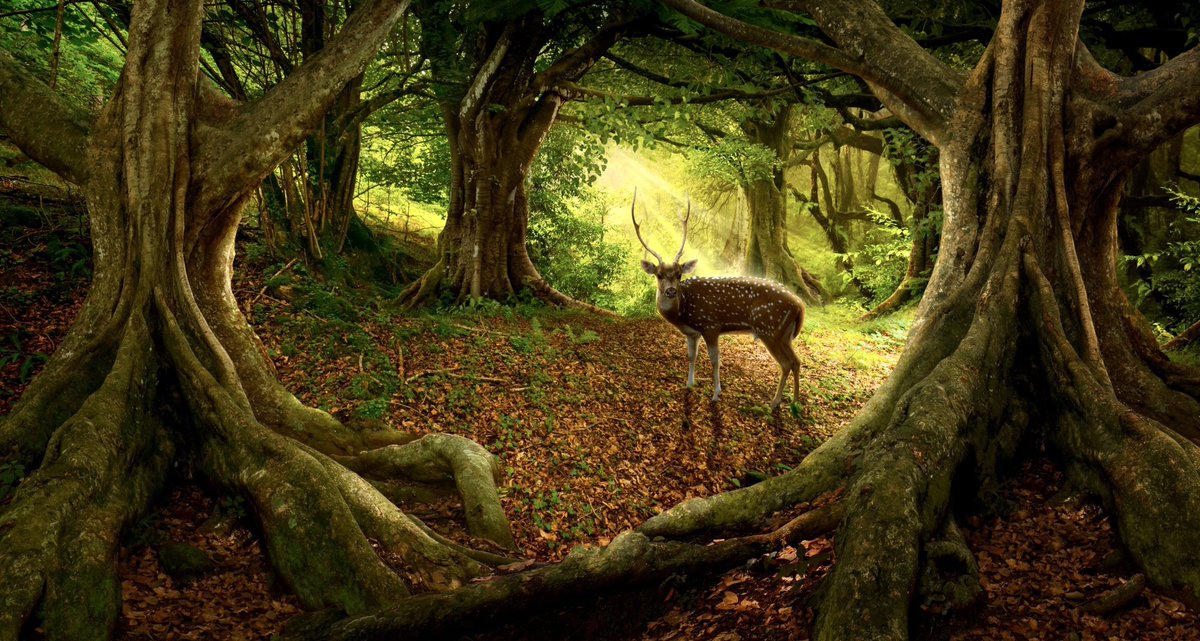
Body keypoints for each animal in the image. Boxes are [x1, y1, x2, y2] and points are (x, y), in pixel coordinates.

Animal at [638, 193, 806, 410]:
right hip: (784, 335)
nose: (671, 291)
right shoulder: (692, 333)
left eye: (679, 274)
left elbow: (715, 359)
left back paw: (775, 402)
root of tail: (800, 305)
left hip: (770, 330)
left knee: (786, 363)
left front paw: (716, 394)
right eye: (659, 275)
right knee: (796, 361)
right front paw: (689, 384)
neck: (684, 311)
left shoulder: (711, 324)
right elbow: (691, 356)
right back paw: (794, 402)